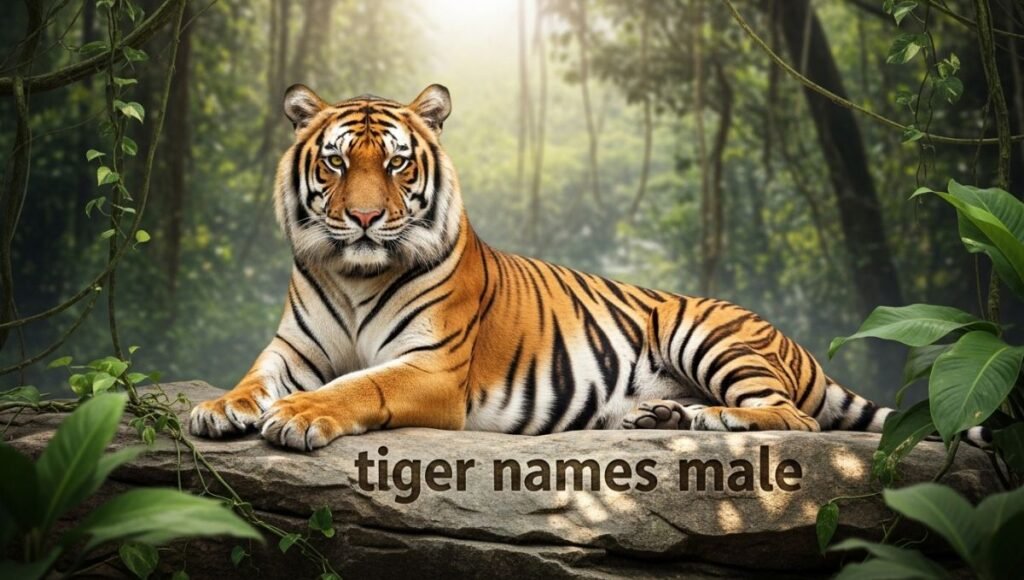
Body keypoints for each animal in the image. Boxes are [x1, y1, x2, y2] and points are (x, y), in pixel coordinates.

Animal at [188, 83, 988, 451]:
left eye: (394, 164)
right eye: (334, 164)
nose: (360, 218)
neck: (354, 275)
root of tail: (795, 343)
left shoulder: (431, 367)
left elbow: (361, 385)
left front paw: (299, 416)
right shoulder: (292, 348)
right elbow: (256, 376)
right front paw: (222, 407)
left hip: (712, 336)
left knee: (795, 417)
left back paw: (714, 418)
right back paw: (662, 413)